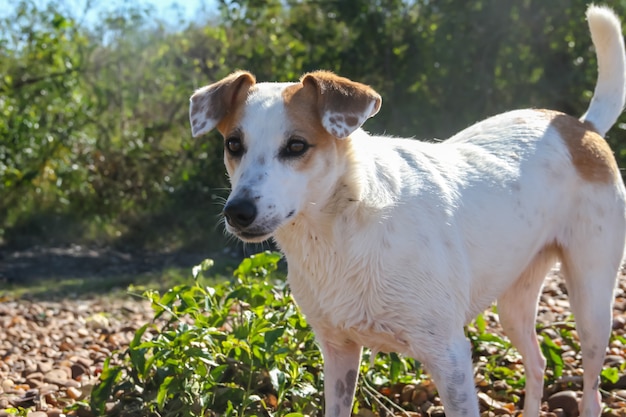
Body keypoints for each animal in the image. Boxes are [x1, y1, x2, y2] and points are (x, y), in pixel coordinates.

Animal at [188, 5, 624, 416]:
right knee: (536, 365)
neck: (341, 228)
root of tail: (580, 127)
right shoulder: (338, 351)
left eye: (296, 146)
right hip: (514, 302)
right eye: (233, 145)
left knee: (591, 393)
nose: (237, 212)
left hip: (591, 302)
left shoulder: (449, 357)